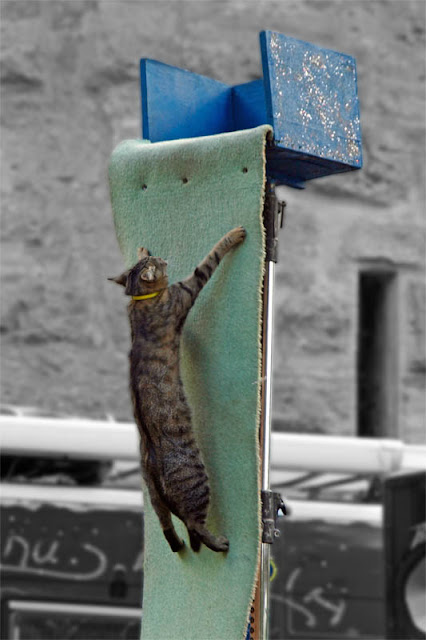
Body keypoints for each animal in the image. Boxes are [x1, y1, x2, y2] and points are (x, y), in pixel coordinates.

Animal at [109, 226, 246, 552]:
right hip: (196, 481)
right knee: (195, 525)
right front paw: (234, 235)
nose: (161, 257)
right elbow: (209, 259)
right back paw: (220, 542)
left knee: (171, 527)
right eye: (157, 262)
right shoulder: (188, 288)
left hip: (160, 502)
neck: (141, 299)